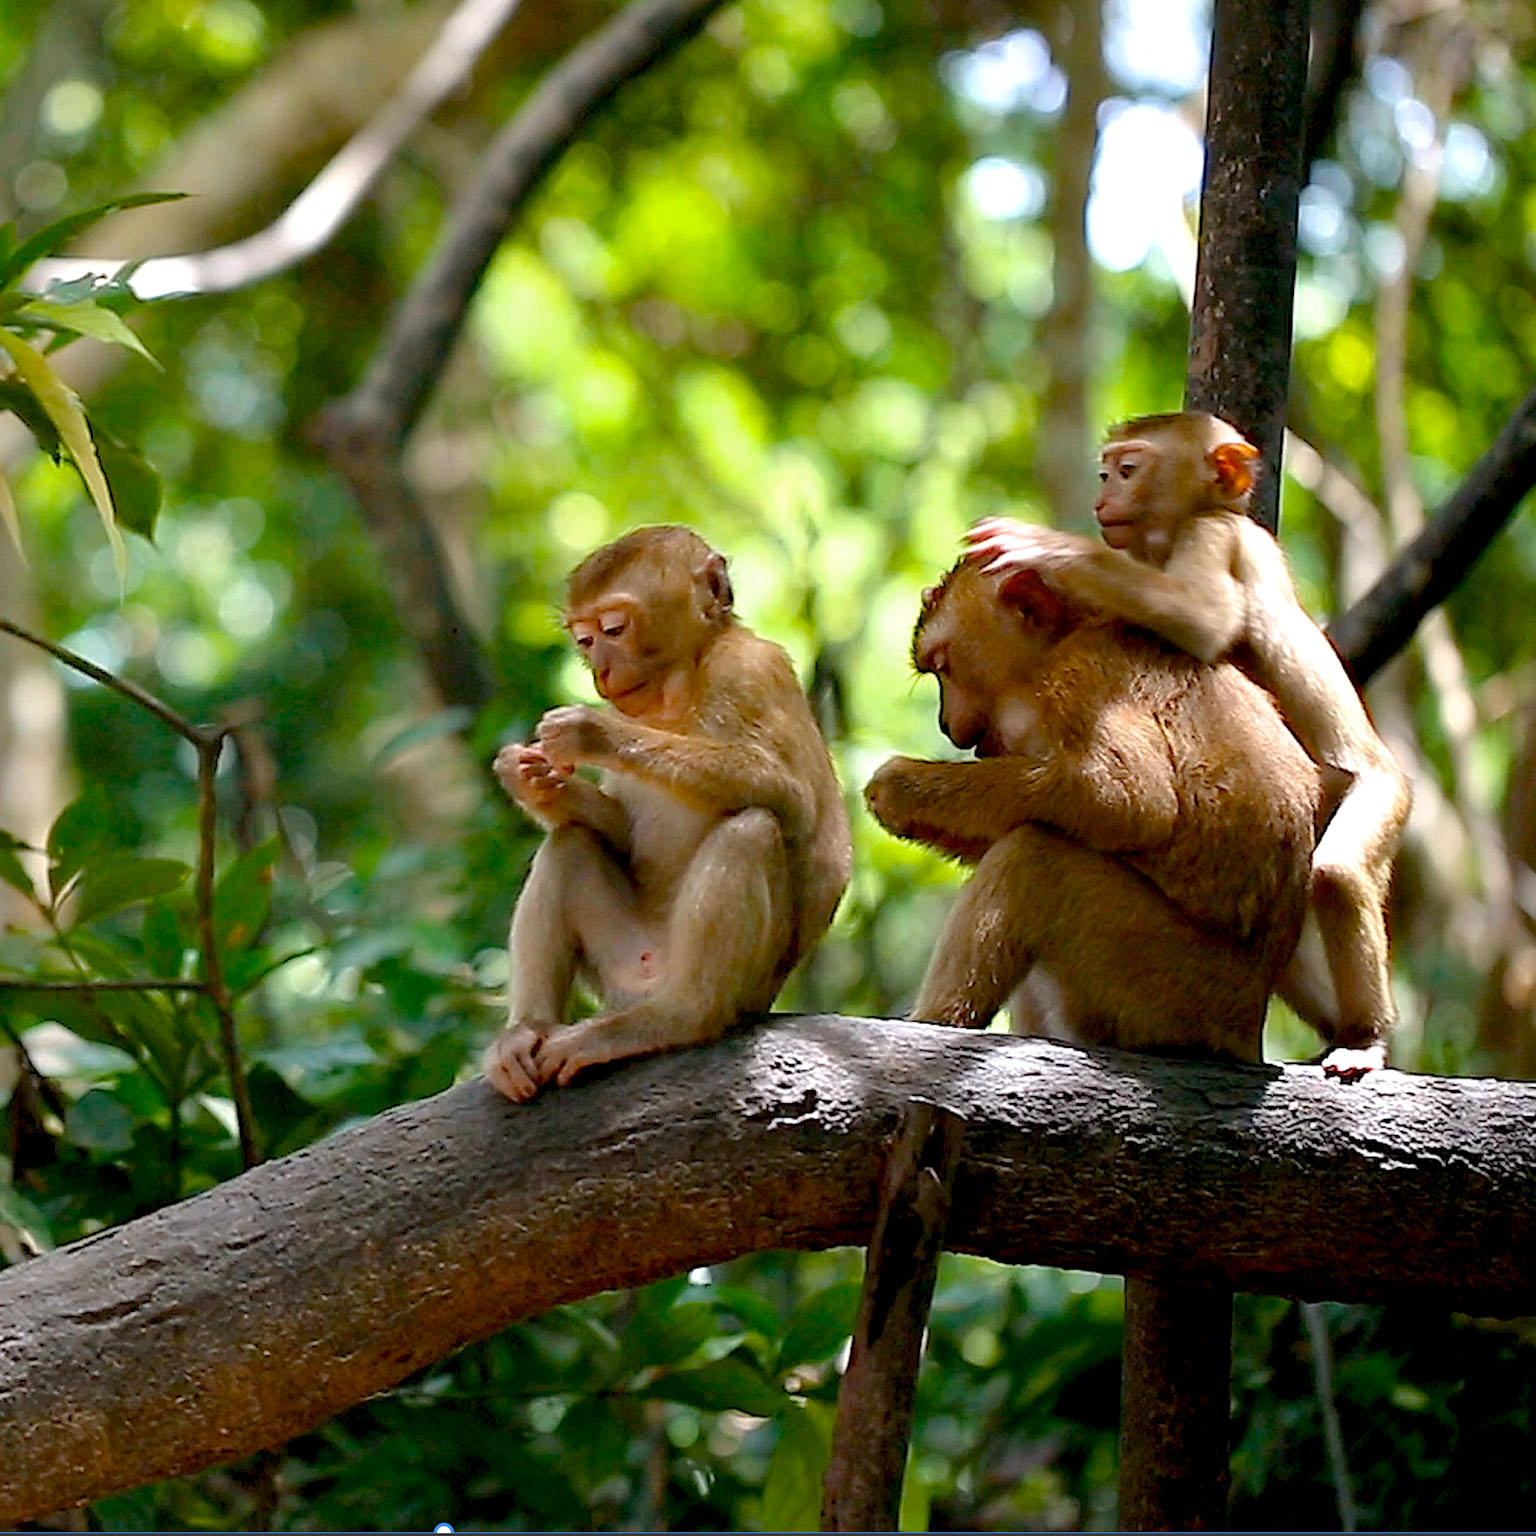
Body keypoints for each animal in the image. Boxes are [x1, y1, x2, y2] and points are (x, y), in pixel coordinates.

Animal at [483, 525, 852, 1103]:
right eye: (584, 639)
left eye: (614, 628)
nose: (600, 669)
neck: (677, 691)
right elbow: (618, 832)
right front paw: (532, 782)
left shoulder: (751, 670)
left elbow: (786, 795)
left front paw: (592, 733)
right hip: (618, 966)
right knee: (570, 843)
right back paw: (527, 1032)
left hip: (740, 985)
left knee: (751, 828)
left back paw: (681, 1017)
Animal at [864, 559, 1323, 1059]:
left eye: (944, 667)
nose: (946, 724)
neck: (1071, 633)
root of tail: (1248, 1029)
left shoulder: (1083, 677)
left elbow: (1130, 801)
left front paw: (901, 788)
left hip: (1173, 988)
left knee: (1033, 860)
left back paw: (937, 1025)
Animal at [965, 412, 1412, 1079]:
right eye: (1106, 471)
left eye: (1128, 469)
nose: (1102, 495)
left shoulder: (1213, 536)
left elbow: (1203, 618)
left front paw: (1048, 547)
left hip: (1379, 799)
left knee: (1334, 874)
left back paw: (1364, 1037)